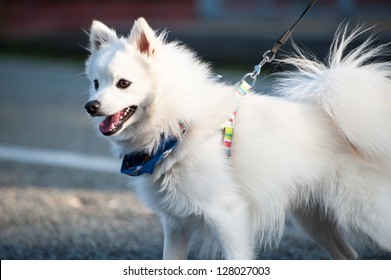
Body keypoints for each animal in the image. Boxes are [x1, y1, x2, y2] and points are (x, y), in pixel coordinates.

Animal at [85, 18, 391, 260]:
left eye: (123, 83)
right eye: (96, 83)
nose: (91, 106)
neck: (177, 127)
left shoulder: (227, 216)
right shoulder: (176, 224)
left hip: (368, 214)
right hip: (315, 219)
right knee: (348, 255)